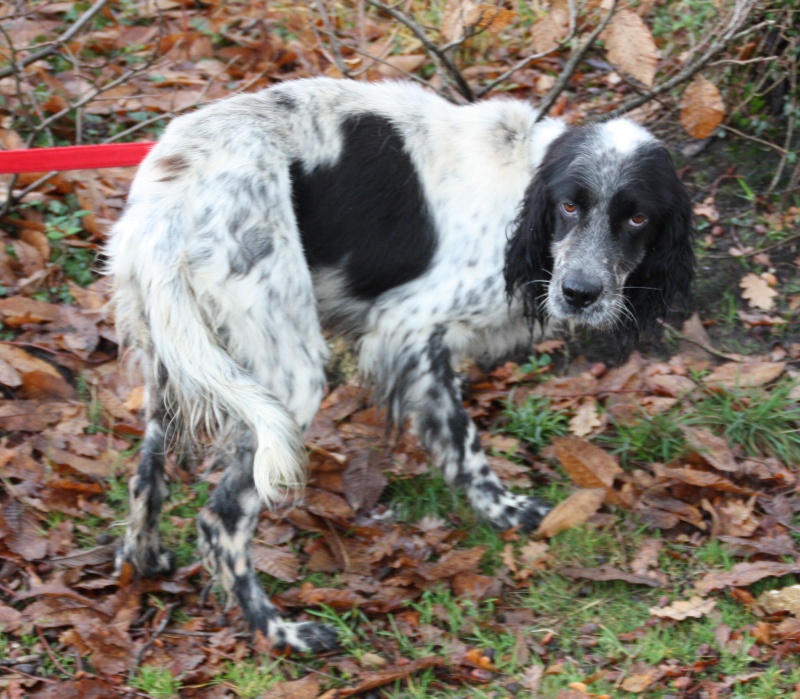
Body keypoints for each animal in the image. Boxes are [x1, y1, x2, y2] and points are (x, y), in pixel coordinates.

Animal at [108, 79, 692, 652]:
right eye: (570, 206)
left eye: (637, 217)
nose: (580, 293)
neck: (523, 181)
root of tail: (168, 199)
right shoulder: (410, 328)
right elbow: (464, 444)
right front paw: (504, 510)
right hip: (288, 382)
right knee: (220, 520)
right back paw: (282, 631)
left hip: (171, 360)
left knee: (147, 472)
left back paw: (144, 558)